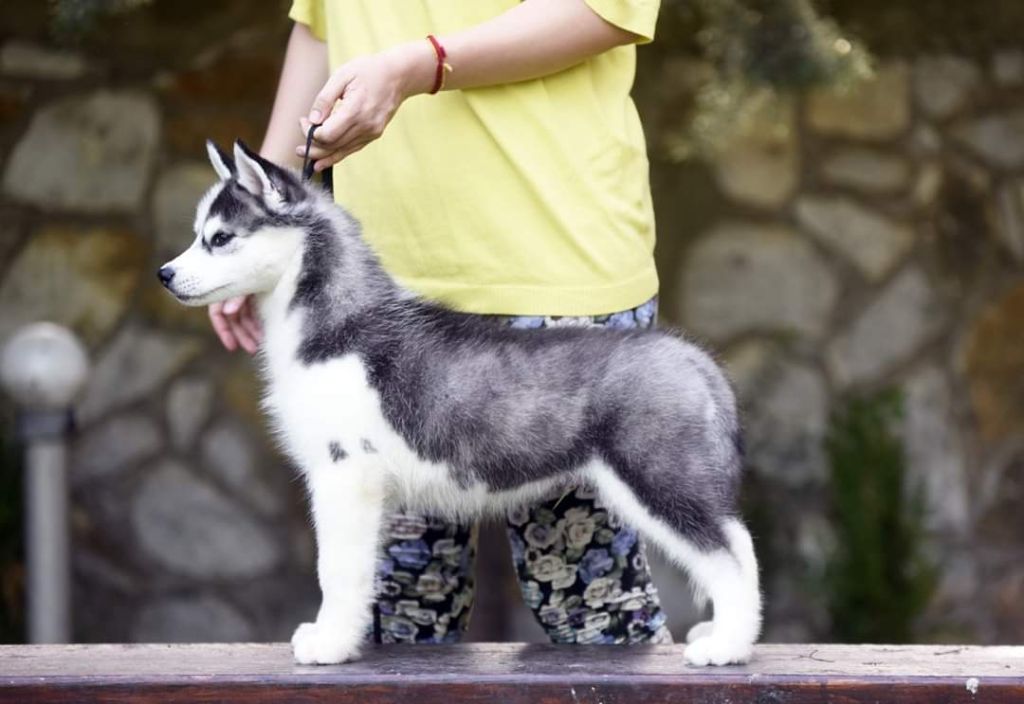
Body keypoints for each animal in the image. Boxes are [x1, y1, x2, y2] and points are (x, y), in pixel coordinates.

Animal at [159, 140, 762, 666]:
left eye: (219, 238)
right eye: (198, 235)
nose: (163, 275)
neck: (333, 322)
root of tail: (692, 356)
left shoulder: (344, 472)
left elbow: (336, 569)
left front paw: (328, 645)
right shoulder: (370, 490)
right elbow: (363, 571)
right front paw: (345, 637)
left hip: (657, 478)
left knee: (731, 551)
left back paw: (727, 646)